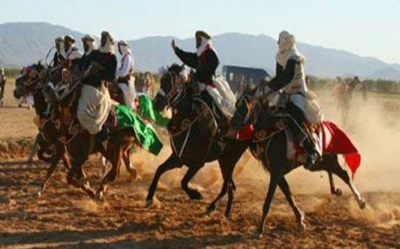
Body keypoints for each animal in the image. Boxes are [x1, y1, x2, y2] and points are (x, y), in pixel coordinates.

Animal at [145, 62, 248, 216]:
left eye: (173, 83)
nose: (157, 103)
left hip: (230, 159)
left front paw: (196, 194)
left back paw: (214, 207)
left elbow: (183, 182)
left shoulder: (198, 163)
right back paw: (224, 210)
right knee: (230, 185)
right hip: (223, 160)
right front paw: (149, 197)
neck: (188, 120)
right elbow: (159, 170)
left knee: (227, 185)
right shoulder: (179, 159)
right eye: (162, 80)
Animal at [222, 85, 366, 237]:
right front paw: (300, 220)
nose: (233, 124)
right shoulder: (277, 173)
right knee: (330, 171)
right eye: (237, 104)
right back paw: (336, 190)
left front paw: (259, 229)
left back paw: (360, 201)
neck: (271, 131)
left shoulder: (276, 172)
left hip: (330, 160)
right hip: (316, 164)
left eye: (247, 105)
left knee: (345, 175)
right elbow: (288, 194)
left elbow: (269, 200)